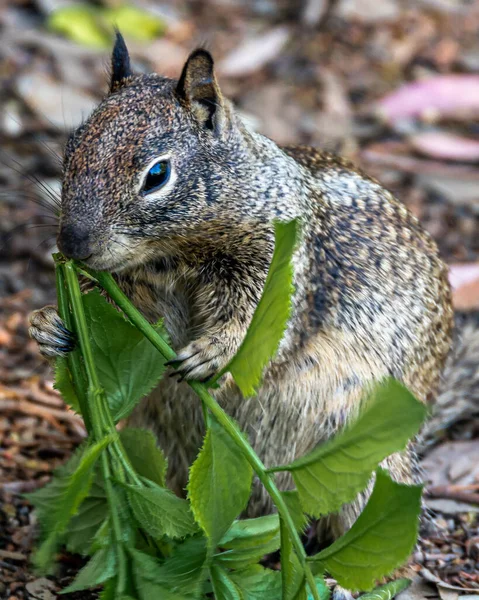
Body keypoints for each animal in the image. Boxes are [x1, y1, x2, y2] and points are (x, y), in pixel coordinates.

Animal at [29, 32, 462, 544]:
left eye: (157, 175)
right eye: (70, 149)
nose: (71, 244)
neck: (175, 256)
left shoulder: (280, 269)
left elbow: (258, 329)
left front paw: (214, 352)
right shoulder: (143, 291)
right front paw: (48, 322)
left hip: (367, 464)